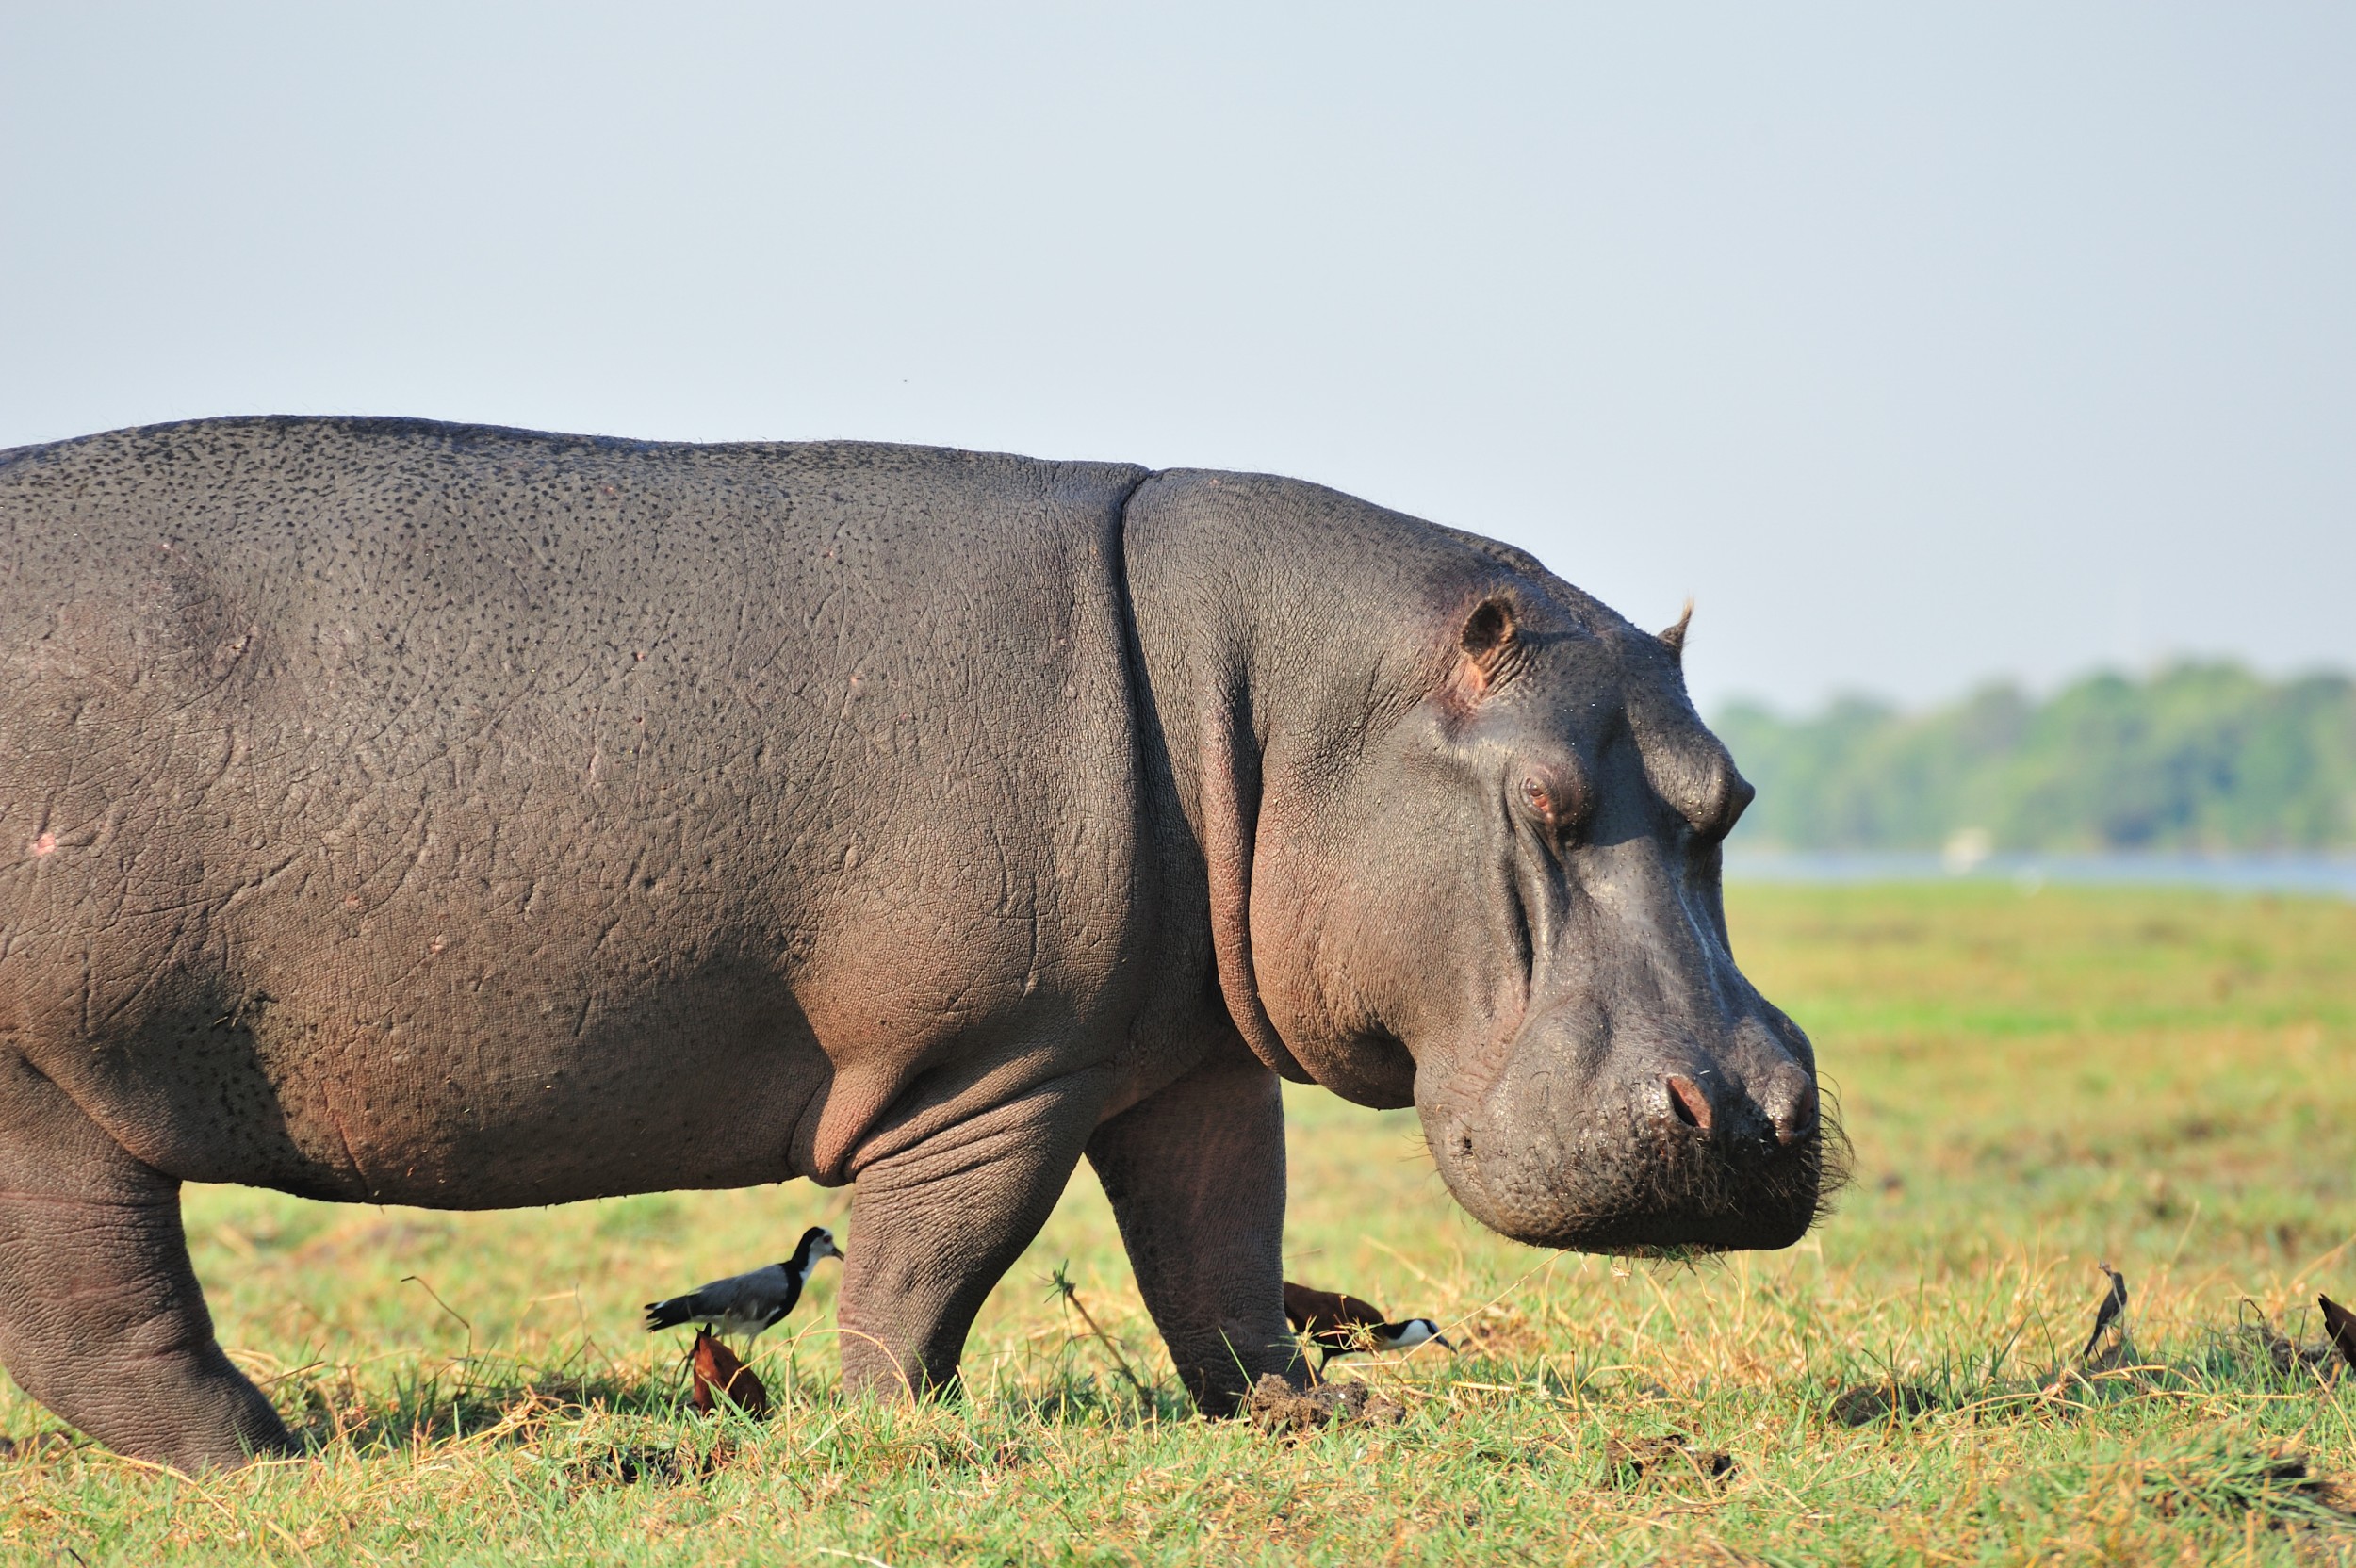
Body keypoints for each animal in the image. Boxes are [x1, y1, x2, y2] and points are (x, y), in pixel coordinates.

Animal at [0, 418, 1837, 1469]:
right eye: (1543, 802)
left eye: (1732, 794)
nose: (1751, 1120)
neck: (1279, 704)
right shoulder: (995, 1066)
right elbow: (933, 1262)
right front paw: (904, 1429)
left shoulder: (1182, 1054)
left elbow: (1222, 1251)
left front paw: (1320, 1415)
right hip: (48, 1083)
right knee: (101, 1299)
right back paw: (267, 1454)